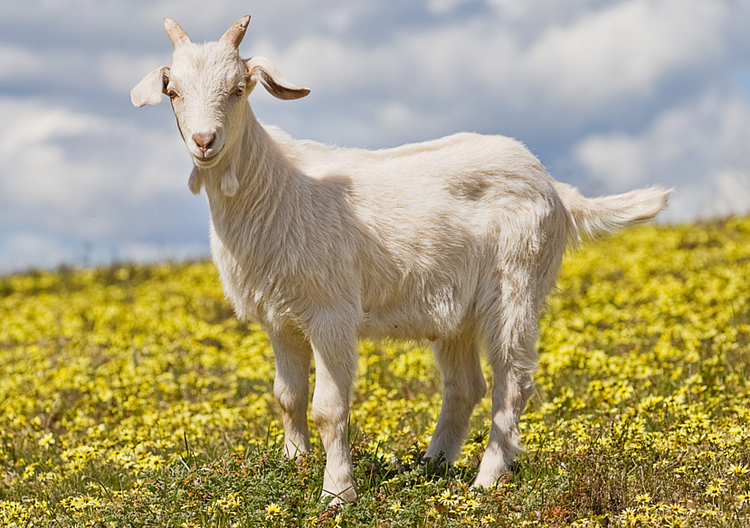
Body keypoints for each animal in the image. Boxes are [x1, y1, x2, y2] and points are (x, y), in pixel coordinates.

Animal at [132, 16, 670, 504]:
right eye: (173, 92)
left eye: (239, 88)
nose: (205, 142)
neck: (277, 187)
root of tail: (556, 189)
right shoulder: (280, 318)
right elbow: (288, 397)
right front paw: (294, 466)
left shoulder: (331, 312)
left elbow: (329, 407)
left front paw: (337, 492)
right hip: (457, 312)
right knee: (464, 386)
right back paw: (431, 467)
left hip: (517, 284)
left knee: (512, 382)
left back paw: (486, 480)